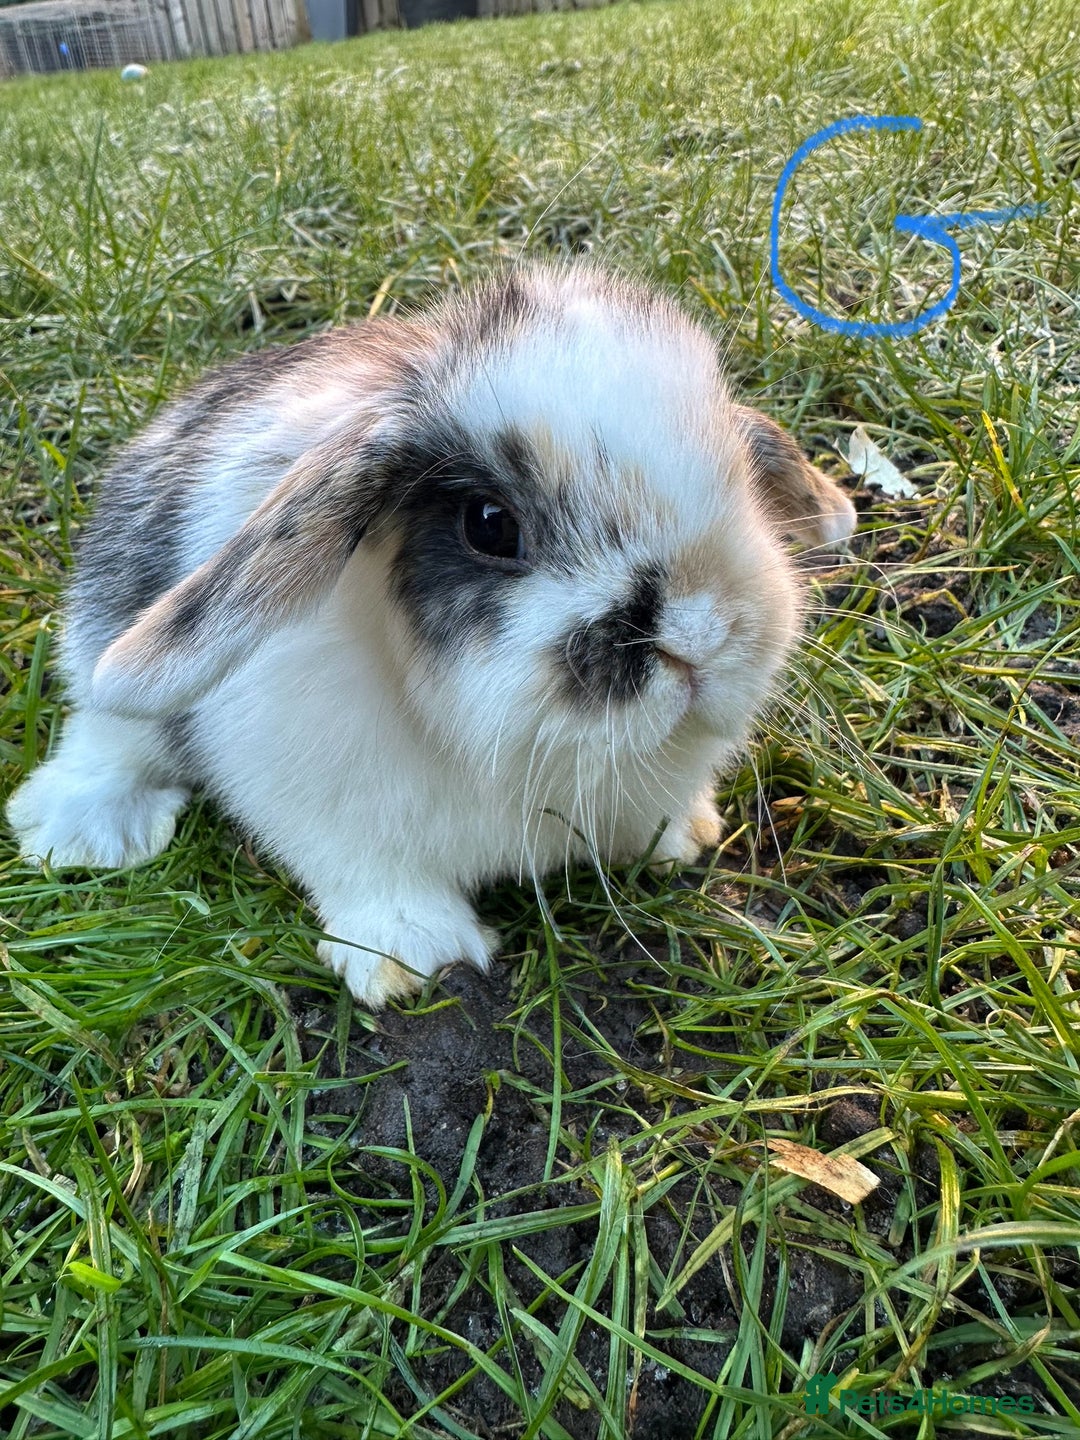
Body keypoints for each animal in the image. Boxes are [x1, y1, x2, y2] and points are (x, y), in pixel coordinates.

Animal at [7, 263, 857, 1007]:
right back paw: (78, 834)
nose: (702, 635)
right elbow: (376, 882)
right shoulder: (332, 813)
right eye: (490, 525)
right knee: (106, 739)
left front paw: (684, 838)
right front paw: (421, 960)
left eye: (738, 477)